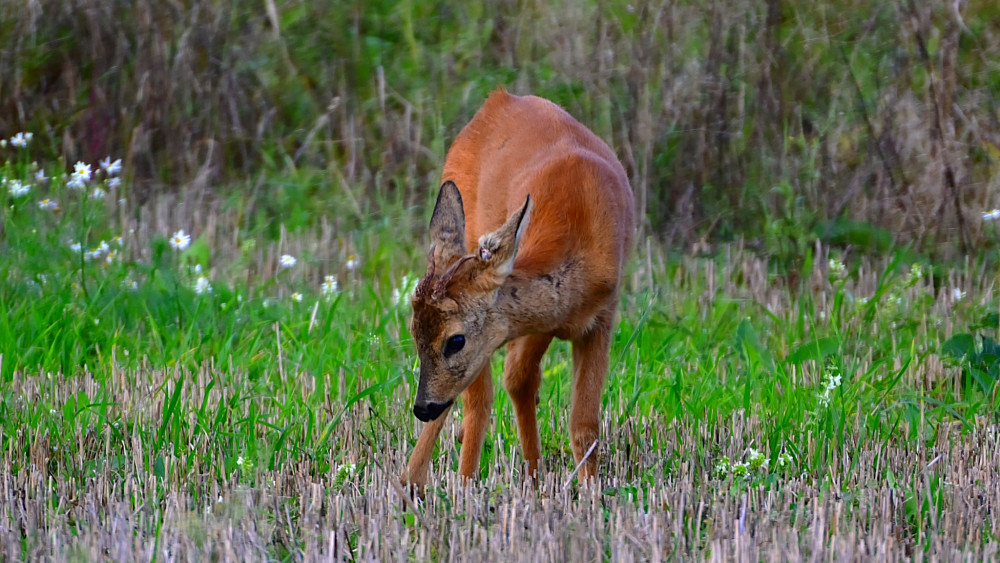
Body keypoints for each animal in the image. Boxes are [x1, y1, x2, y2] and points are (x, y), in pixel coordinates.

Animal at [398, 89, 632, 494]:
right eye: (412, 331)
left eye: (455, 340)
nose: (421, 407)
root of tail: (499, 99)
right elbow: (493, 394)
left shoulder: (602, 315)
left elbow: (584, 425)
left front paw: (589, 491)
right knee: (482, 398)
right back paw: (436, 481)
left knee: (514, 381)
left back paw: (531, 474)